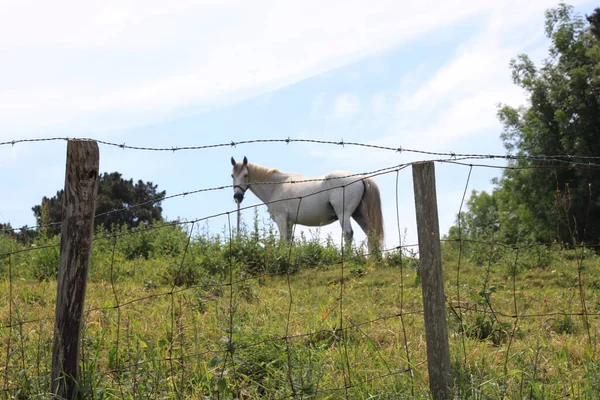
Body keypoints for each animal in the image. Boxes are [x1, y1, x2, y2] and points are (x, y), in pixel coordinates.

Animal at [230, 156, 384, 253]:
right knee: (371, 234)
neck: (276, 186)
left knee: (348, 234)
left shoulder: (281, 219)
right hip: (359, 215)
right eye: (232, 175)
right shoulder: (289, 222)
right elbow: (288, 241)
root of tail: (361, 177)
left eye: (245, 175)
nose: (237, 196)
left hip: (344, 214)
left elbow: (283, 240)